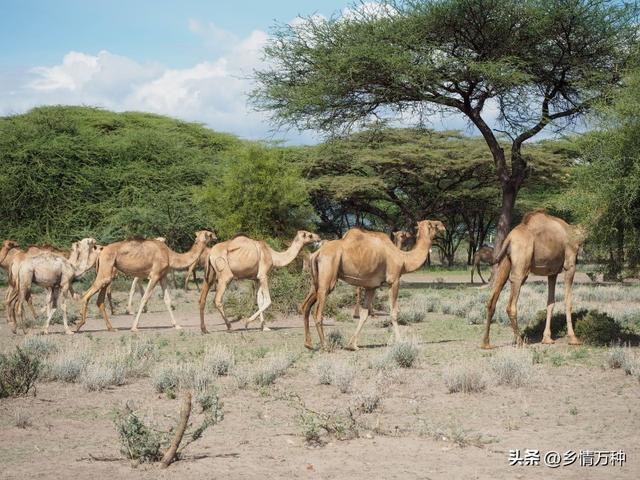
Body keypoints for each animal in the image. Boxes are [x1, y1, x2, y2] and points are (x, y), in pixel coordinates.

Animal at [77, 231, 218, 332]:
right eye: (209, 234)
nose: (216, 237)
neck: (170, 255)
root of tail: (101, 252)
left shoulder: (162, 276)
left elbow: (167, 300)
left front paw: (177, 325)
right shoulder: (154, 275)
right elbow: (144, 297)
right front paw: (134, 327)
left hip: (106, 273)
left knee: (99, 300)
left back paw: (111, 328)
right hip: (106, 272)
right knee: (86, 295)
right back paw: (78, 326)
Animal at [302, 219, 444, 350]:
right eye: (434, 224)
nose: (443, 226)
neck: (403, 259)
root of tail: (317, 253)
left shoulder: (371, 286)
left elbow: (364, 315)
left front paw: (352, 345)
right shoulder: (394, 280)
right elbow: (393, 313)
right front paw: (400, 341)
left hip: (316, 282)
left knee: (306, 307)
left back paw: (309, 344)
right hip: (328, 279)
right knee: (317, 313)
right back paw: (325, 345)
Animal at [480, 210, 584, 348]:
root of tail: (510, 238)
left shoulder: (552, 272)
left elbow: (550, 303)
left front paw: (547, 338)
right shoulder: (570, 264)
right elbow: (568, 302)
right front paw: (573, 338)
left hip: (505, 262)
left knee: (492, 300)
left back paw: (486, 343)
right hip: (521, 265)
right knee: (511, 305)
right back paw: (520, 341)